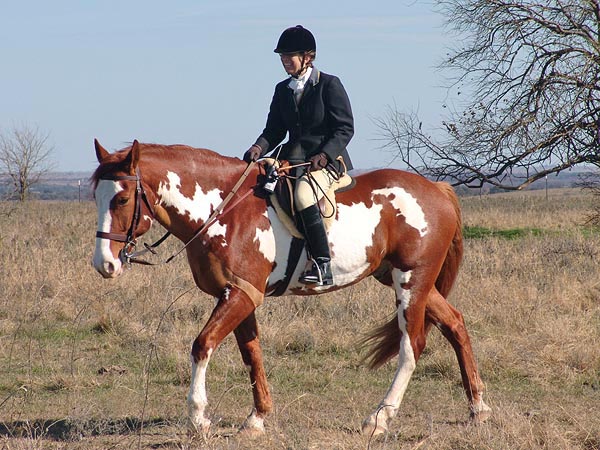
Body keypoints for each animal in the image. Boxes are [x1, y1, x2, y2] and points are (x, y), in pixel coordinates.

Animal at [91, 139, 491, 436]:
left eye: (122, 199)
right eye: (95, 196)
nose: (104, 264)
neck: (223, 209)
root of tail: (436, 188)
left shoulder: (239, 295)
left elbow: (202, 345)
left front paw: (198, 417)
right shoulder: (239, 294)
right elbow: (251, 354)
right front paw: (257, 419)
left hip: (412, 281)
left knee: (413, 344)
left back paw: (379, 419)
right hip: (406, 279)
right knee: (455, 324)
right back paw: (478, 408)